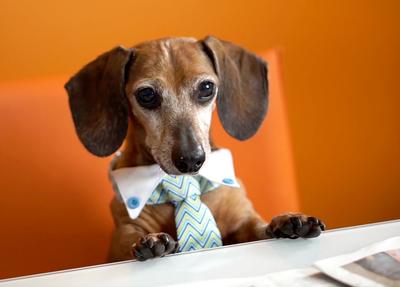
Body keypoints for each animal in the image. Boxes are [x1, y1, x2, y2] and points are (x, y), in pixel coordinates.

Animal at [65, 36, 324, 264]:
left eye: (207, 87)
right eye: (146, 94)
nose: (191, 160)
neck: (185, 185)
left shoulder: (242, 220)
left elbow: (258, 227)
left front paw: (286, 220)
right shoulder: (125, 230)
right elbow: (130, 238)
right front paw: (149, 240)